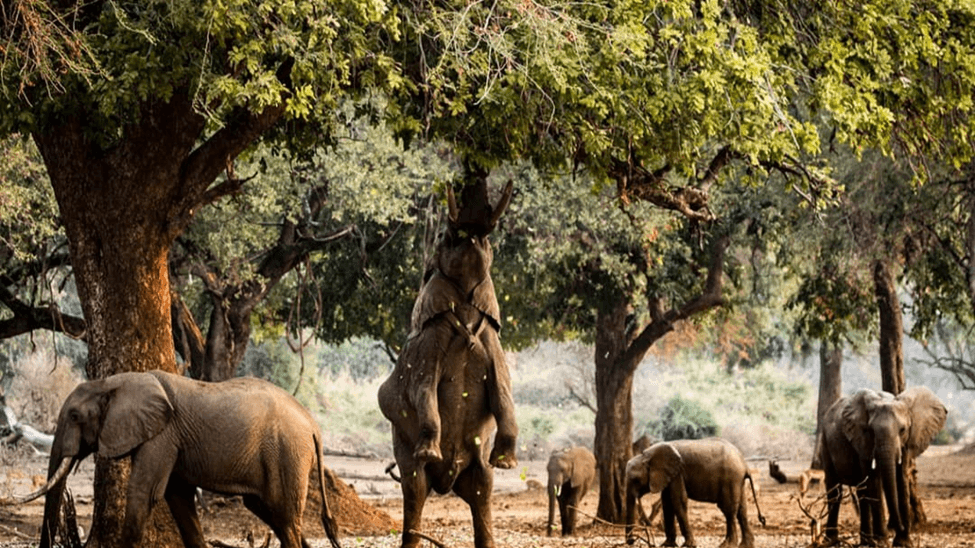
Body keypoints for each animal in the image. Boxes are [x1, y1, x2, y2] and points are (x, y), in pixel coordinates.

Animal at [12, 370, 340, 548]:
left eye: (74, 416)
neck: (112, 382)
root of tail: (313, 425)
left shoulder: (162, 436)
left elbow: (145, 494)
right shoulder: (170, 440)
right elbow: (178, 498)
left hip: (287, 454)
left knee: (285, 517)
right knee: (274, 515)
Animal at [378, 177, 518, 548]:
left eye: (487, 240)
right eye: (445, 235)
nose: (470, 231)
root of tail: (447, 485)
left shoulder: (492, 341)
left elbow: (503, 390)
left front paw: (507, 463)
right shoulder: (426, 346)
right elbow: (422, 388)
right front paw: (430, 451)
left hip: (476, 466)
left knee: (483, 491)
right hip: (402, 446)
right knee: (415, 489)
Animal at [625, 438, 764, 548]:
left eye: (635, 480)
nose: (631, 541)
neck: (646, 455)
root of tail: (745, 465)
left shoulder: (677, 474)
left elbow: (678, 501)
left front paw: (688, 545)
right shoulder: (669, 476)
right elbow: (667, 504)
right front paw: (667, 545)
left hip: (731, 478)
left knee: (728, 510)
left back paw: (727, 545)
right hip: (738, 481)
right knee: (742, 510)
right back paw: (745, 545)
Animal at [818, 386, 946, 547]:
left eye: (903, 430)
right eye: (871, 431)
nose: (899, 527)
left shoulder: (906, 444)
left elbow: (901, 480)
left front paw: (903, 543)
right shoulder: (863, 441)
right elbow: (874, 481)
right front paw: (882, 542)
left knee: (861, 492)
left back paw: (866, 541)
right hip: (825, 441)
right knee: (835, 489)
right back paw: (831, 541)